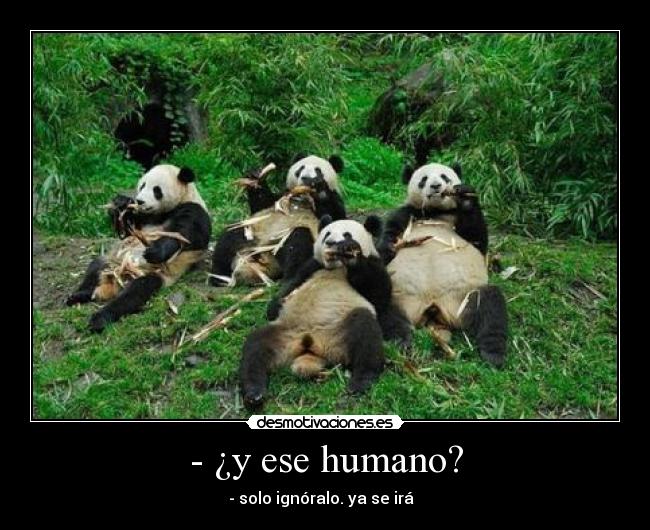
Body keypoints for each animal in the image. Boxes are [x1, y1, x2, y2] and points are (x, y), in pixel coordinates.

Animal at [65, 164, 211, 332]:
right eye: (142, 185)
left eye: (156, 190)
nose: (140, 201)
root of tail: (116, 281)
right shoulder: (142, 217)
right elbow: (126, 231)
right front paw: (120, 203)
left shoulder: (193, 209)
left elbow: (183, 235)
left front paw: (155, 251)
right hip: (112, 261)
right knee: (96, 267)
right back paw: (79, 295)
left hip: (151, 273)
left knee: (135, 292)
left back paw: (100, 319)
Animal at [210, 153, 346, 287]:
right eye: (300, 169)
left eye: (318, 171)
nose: (306, 178)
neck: (301, 197)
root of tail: (265, 255)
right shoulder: (280, 197)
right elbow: (262, 204)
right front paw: (255, 176)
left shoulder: (332, 201)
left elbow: (334, 217)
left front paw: (318, 185)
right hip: (251, 231)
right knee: (228, 238)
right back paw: (219, 276)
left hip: (284, 240)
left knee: (298, 243)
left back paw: (289, 278)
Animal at [239, 215, 391, 409]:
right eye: (327, 233)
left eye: (347, 234)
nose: (331, 242)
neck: (336, 268)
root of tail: (311, 344)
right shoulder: (312, 266)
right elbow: (290, 285)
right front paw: (277, 305)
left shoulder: (375, 264)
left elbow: (379, 296)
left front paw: (352, 253)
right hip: (286, 333)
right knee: (256, 347)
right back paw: (254, 393)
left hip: (340, 329)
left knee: (366, 333)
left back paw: (361, 381)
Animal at [377, 162, 508, 366]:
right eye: (423, 179)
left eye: (444, 177)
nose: (436, 186)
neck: (435, 213)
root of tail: (433, 307)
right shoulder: (407, 213)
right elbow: (389, 233)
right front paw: (390, 247)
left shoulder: (457, 217)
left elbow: (478, 239)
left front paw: (466, 198)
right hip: (401, 296)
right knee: (385, 306)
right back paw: (402, 340)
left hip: (463, 300)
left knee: (491, 306)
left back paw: (493, 353)